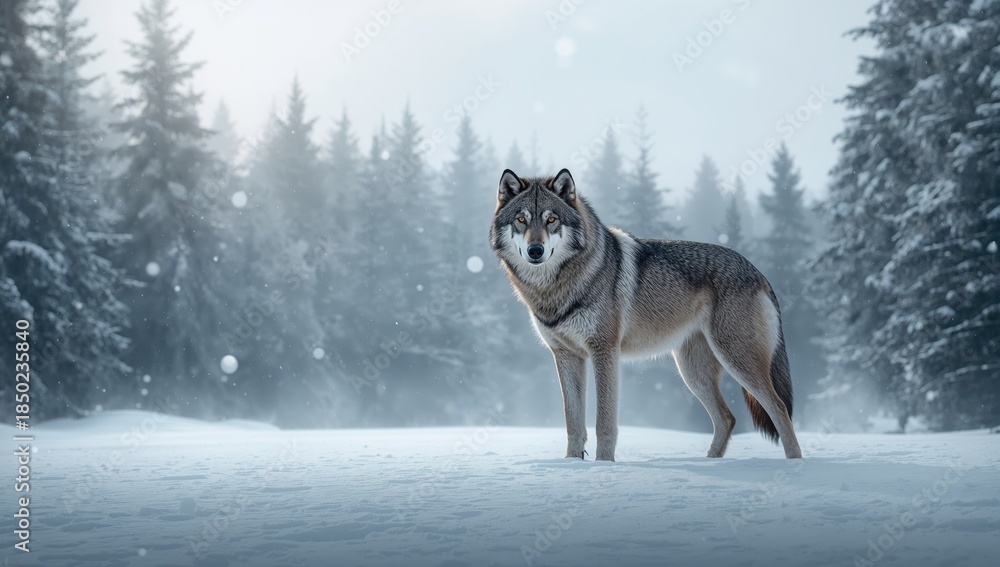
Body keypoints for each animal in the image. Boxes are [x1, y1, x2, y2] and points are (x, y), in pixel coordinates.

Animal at [490, 168, 802, 461]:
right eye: (521, 220)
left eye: (552, 219)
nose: (535, 250)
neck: (555, 289)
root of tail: (758, 271)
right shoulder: (565, 355)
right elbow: (573, 422)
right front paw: (571, 463)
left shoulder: (604, 351)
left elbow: (604, 421)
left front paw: (603, 465)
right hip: (692, 372)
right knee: (727, 418)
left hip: (736, 359)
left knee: (779, 408)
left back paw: (794, 465)